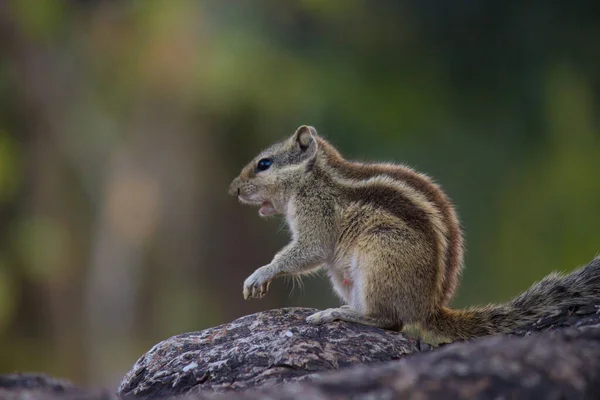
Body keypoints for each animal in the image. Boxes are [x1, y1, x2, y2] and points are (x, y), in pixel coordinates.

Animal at [229, 126, 600, 340]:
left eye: (264, 164)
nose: (233, 189)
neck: (312, 177)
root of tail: (429, 308)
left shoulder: (317, 216)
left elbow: (309, 250)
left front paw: (260, 274)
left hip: (379, 256)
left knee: (388, 321)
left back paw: (336, 313)